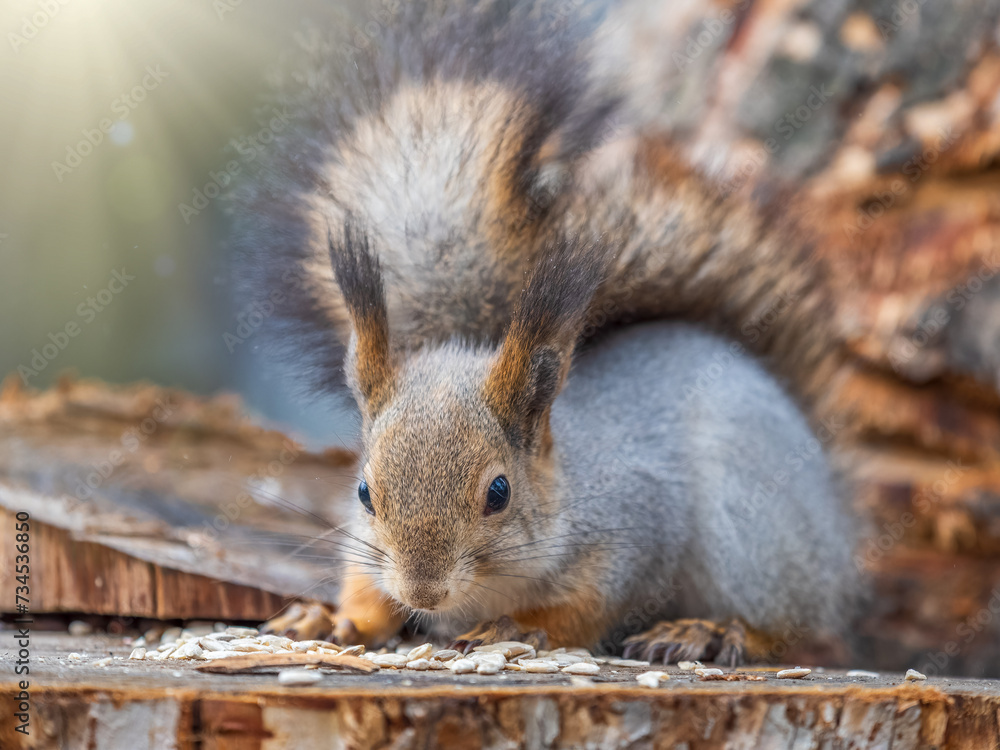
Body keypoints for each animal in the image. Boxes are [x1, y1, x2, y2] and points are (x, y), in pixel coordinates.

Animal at [232, 0, 859, 662]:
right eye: (362, 493)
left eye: (499, 493)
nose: (423, 591)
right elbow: (367, 586)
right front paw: (336, 619)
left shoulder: (634, 540)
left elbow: (580, 613)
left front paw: (515, 627)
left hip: (754, 533)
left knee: (790, 625)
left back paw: (708, 631)